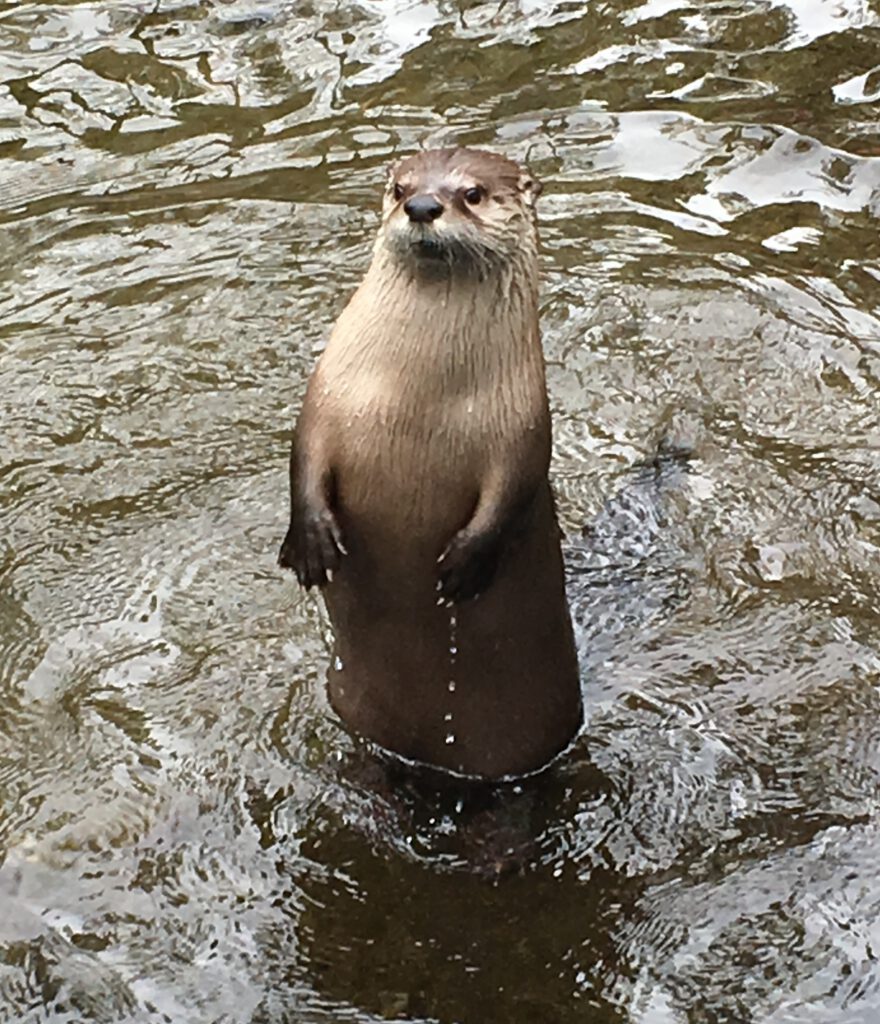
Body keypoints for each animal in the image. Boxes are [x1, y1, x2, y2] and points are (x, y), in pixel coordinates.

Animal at [278, 147, 582, 779]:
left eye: (472, 193)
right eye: (399, 188)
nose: (421, 206)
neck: (412, 398)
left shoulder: (522, 423)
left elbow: (512, 488)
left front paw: (464, 564)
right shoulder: (325, 395)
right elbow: (304, 456)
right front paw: (312, 543)